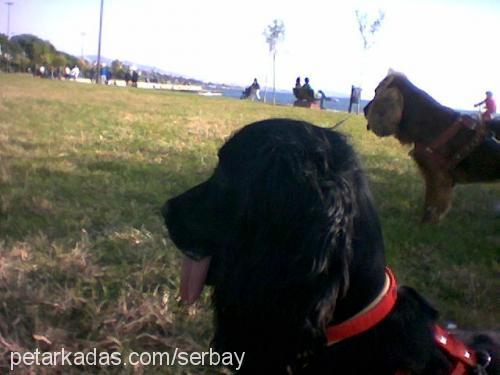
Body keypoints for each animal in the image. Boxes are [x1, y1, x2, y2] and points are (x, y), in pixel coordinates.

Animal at [364, 72, 500, 223]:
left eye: (376, 91)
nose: (364, 110)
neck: (427, 122)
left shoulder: (438, 176)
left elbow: (433, 206)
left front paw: (427, 224)